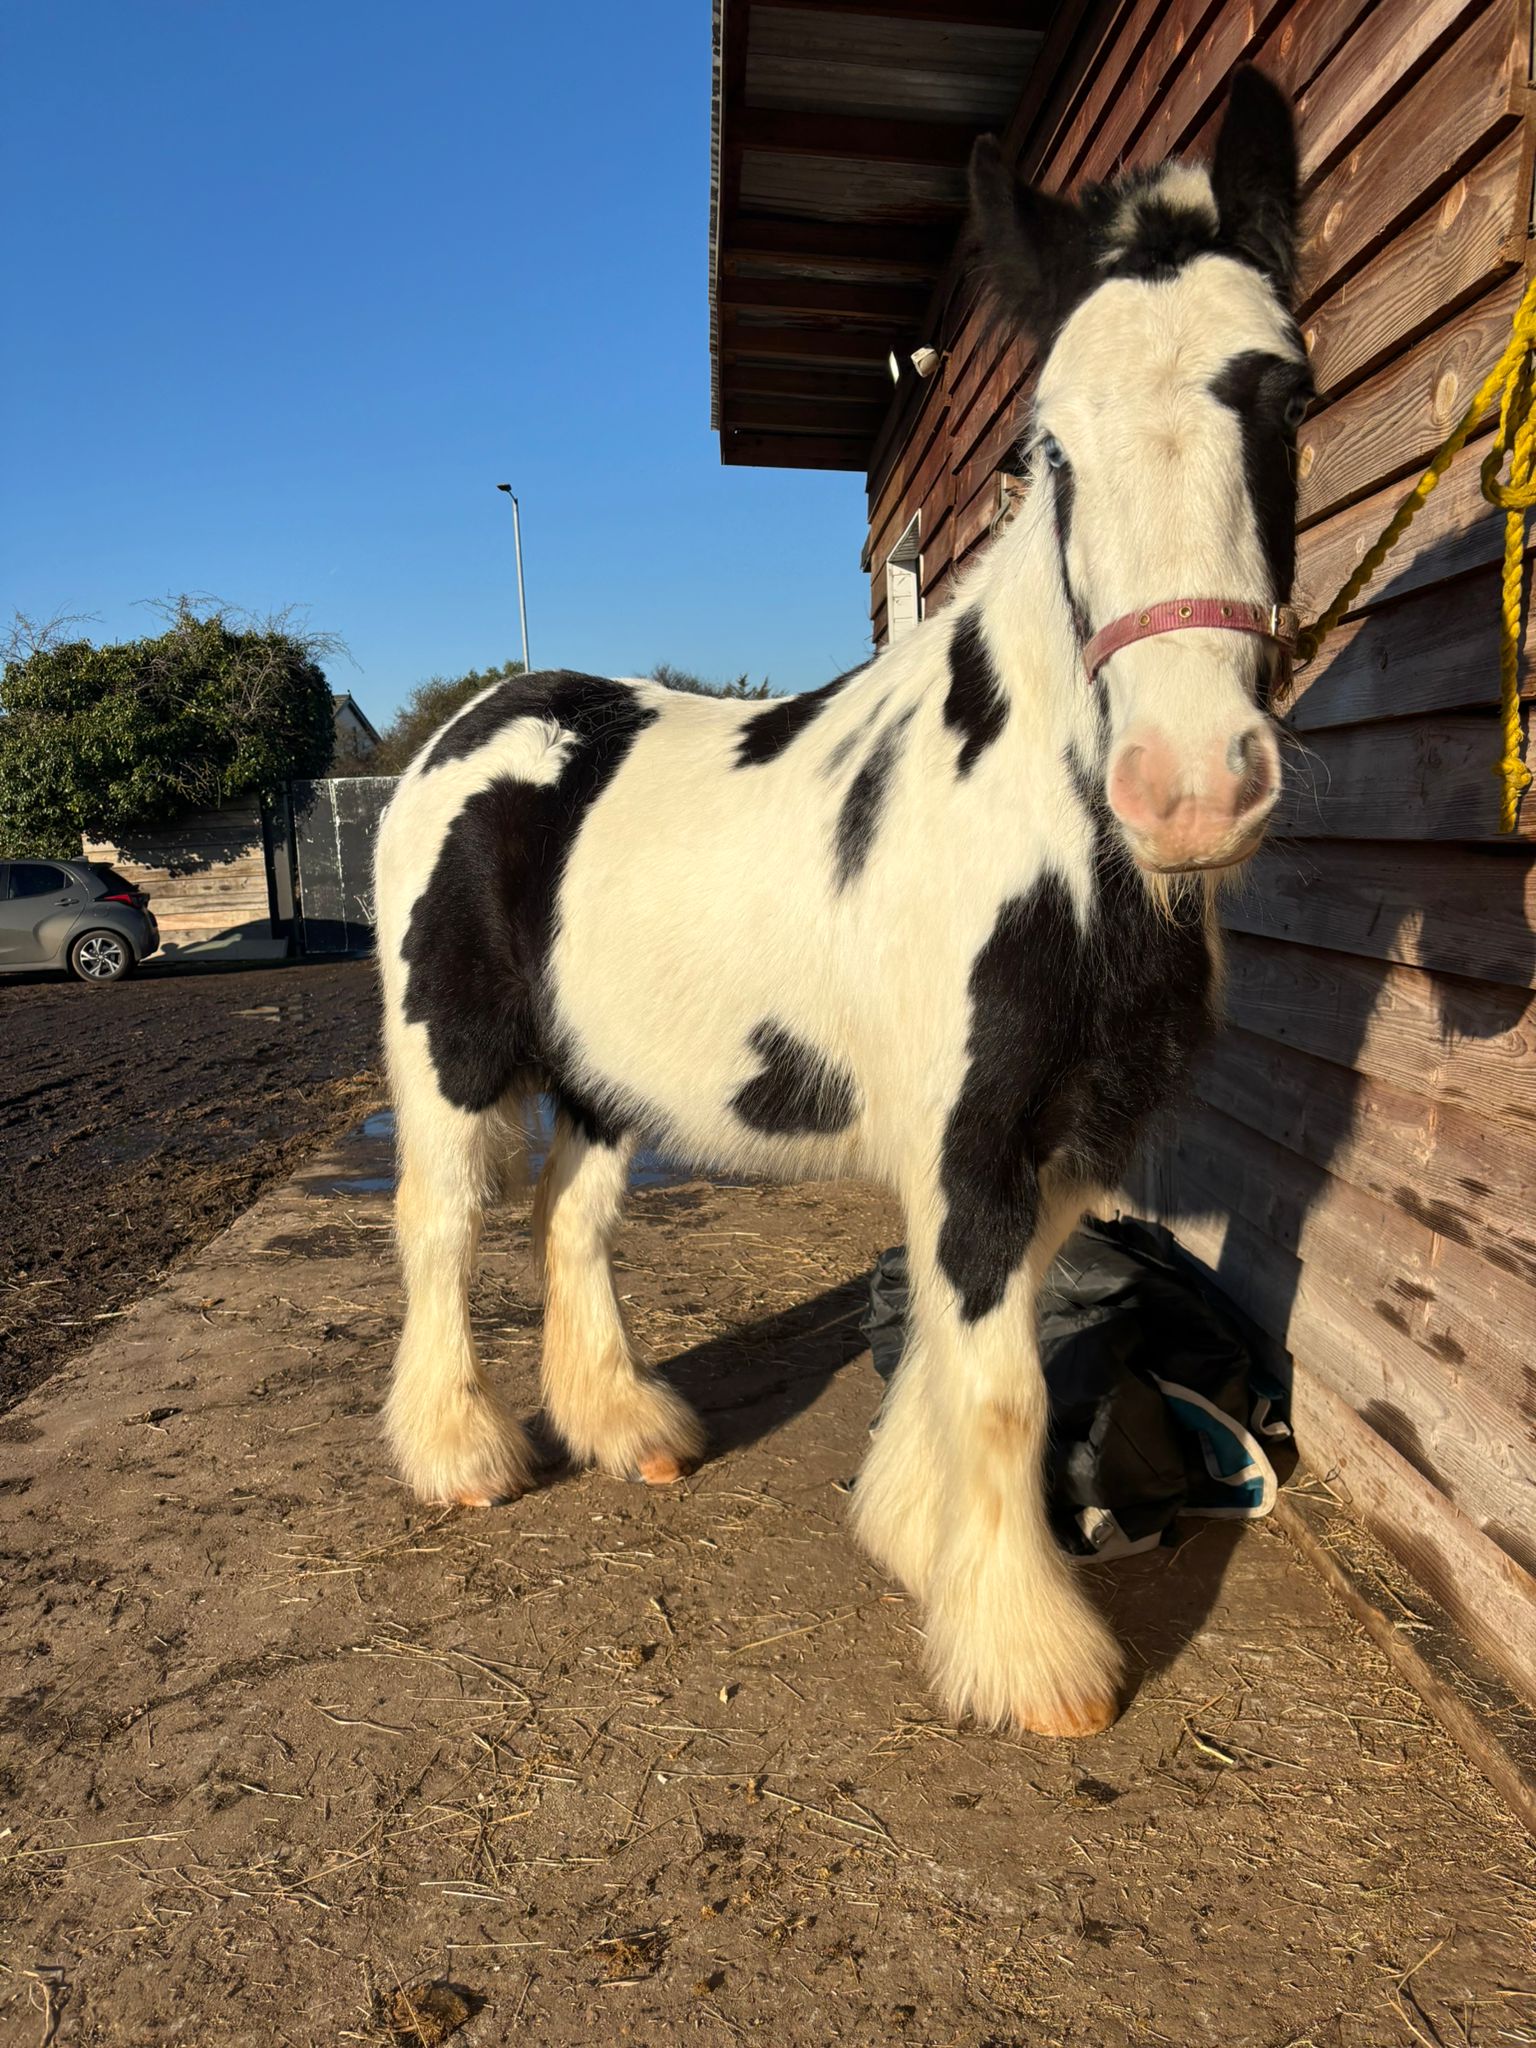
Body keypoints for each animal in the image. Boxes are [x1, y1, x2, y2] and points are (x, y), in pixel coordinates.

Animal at [373, 66, 1308, 1739]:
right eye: (1052, 448)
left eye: (1288, 396)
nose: (1193, 783)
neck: (1057, 849)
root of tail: (469, 726)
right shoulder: (976, 1142)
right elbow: (1003, 1384)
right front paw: (1030, 1657)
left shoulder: (1049, 1146)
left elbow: (959, 1351)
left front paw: (913, 1533)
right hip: (452, 1062)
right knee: (440, 1226)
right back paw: (463, 1457)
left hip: (604, 1081)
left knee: (569, 1222)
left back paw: (627, 1428)